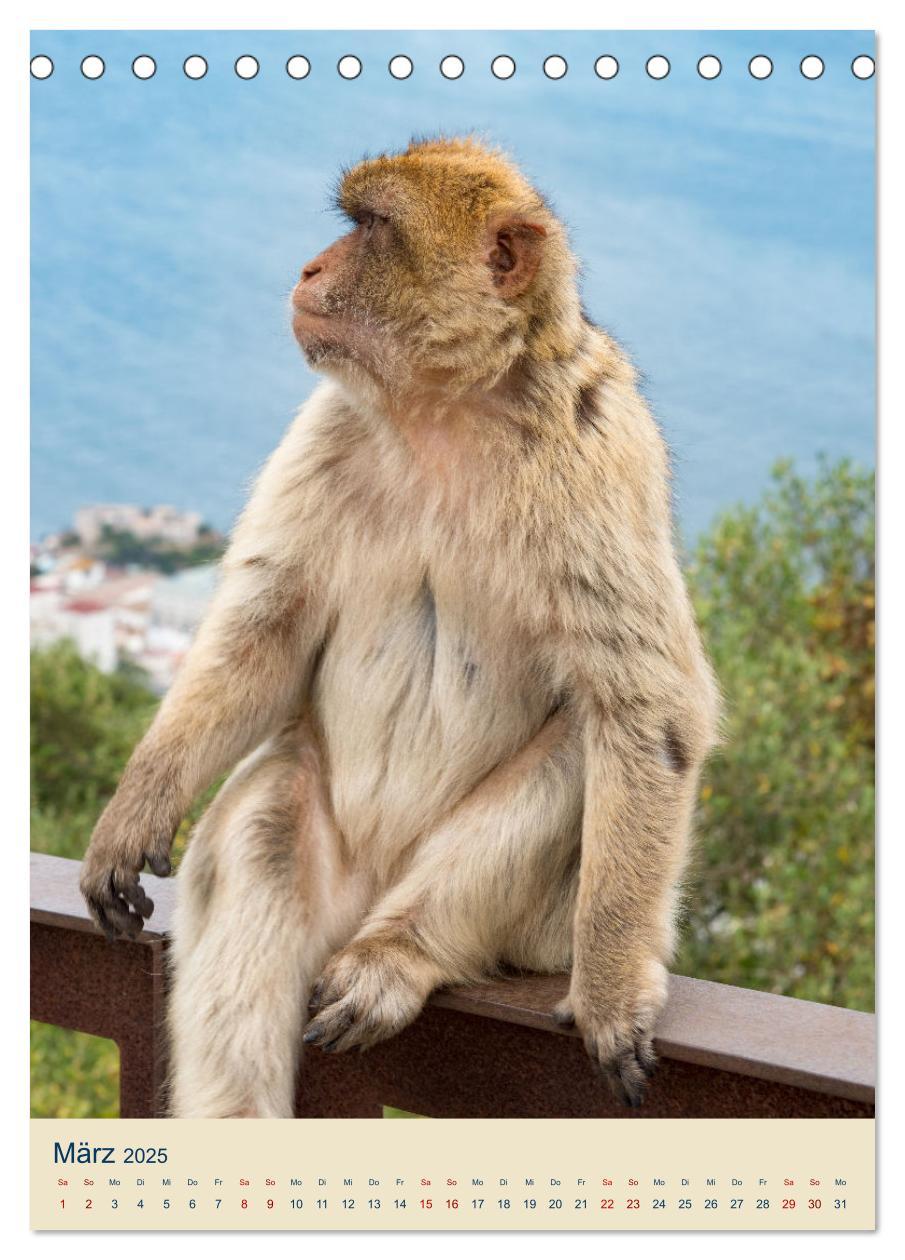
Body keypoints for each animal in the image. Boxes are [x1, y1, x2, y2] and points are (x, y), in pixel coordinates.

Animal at [83, 137, 720, 1118]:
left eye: (373, 229)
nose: (309, 268)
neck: (444, 410)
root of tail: (367, 894)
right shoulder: (327, 425)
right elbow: (268, 631)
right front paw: (137, 807)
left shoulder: (598, 443)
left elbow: (647, 712)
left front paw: (612, 987)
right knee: (263, 829)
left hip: (525, 924)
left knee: (584, 742)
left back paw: (396, 957)